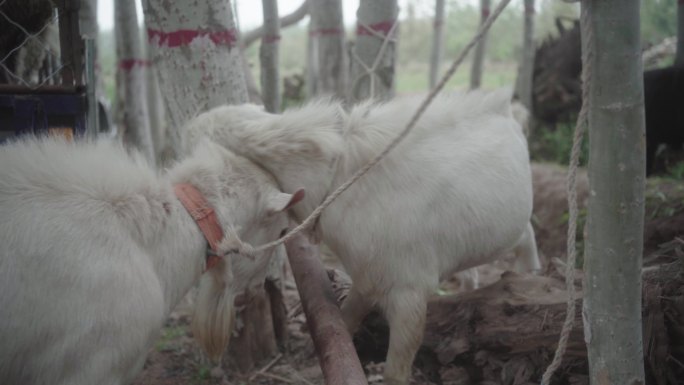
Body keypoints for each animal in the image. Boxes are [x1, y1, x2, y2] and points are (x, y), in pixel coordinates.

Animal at [184, 91, 544, 384]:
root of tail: (509, 111)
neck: (342, 180)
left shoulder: (409, 293)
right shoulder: (368, 277)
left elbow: (396, 372)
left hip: (519, 227)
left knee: (527, 241)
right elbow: (343, 323)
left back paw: (530, 279)